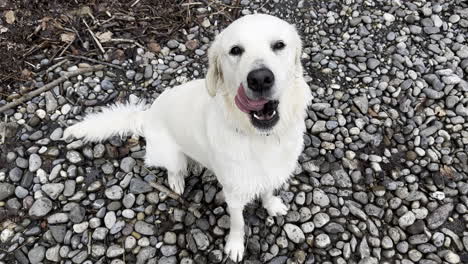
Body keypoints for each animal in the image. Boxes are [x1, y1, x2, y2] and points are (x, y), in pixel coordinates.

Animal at [62, 13, 310, 260]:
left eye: (279, 45)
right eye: (235, 50)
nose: (259, 79)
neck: (260, 136)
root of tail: (147, 115)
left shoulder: (271, 173)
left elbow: (268, 191)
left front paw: (272, 205)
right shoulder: (233, 193)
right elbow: (238, 222)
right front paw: (235, 245)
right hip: (172, 155)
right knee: (173, 168)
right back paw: (177, 181)